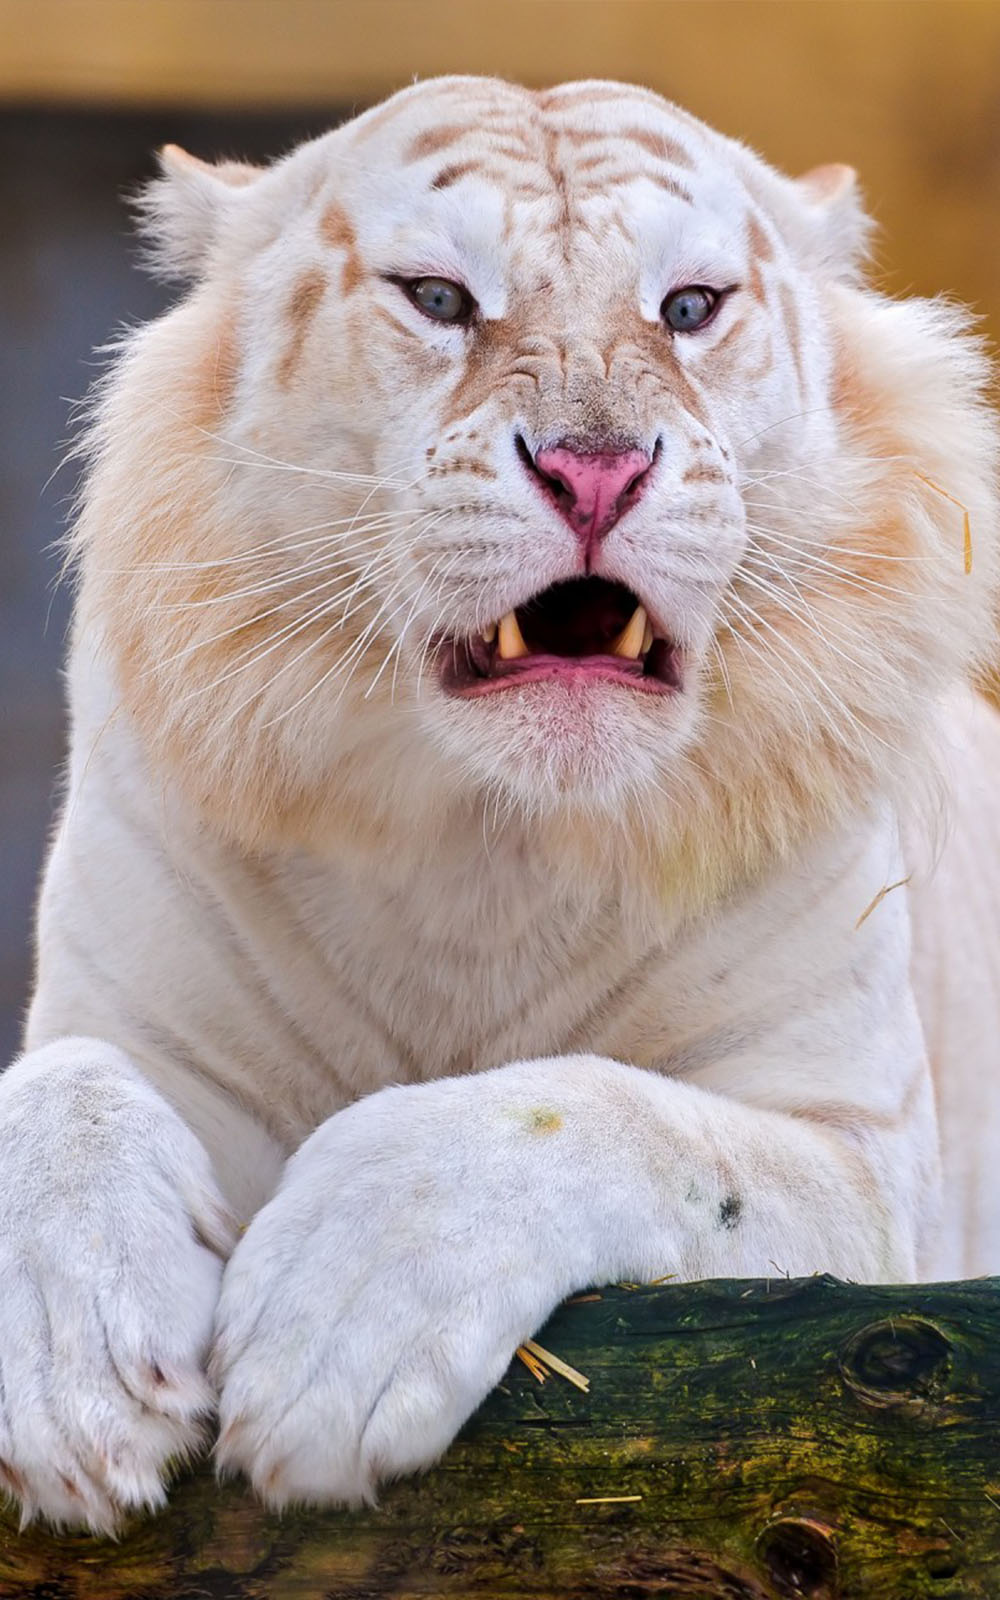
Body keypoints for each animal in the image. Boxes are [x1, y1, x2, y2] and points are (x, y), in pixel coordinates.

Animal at [2, 73, 999, 1534]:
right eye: (437, 296)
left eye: (688, 307)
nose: (595, 471)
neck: (490, 844)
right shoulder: (134, 1017)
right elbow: (57, 1085)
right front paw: (69, 1380)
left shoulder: (867, 1177)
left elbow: (607, 1114)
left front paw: (331, 1331)